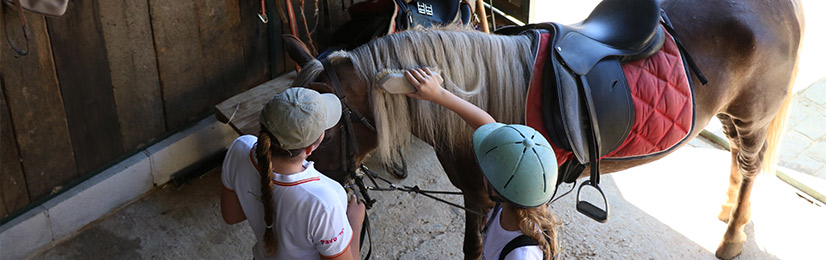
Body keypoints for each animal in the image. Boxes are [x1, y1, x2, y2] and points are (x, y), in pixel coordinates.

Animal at [284, 0, 804, 258]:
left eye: (327, 126)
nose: (303, 180)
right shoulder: (478, 197)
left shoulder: (488, 196)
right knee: (737, 160)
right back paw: (727, 211)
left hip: (753, 114)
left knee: (750, 164)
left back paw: (732, 237)